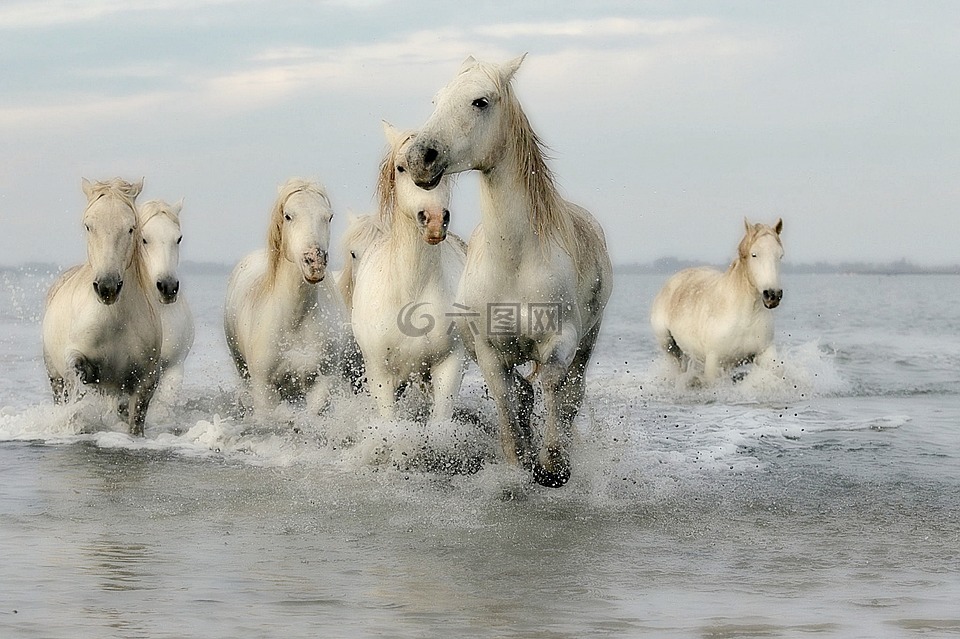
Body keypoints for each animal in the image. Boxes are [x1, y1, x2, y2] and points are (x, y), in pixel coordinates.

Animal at [42, 177, 162, 435]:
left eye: (130, 228)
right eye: (89, 226)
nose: (107, 287)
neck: (113, 321)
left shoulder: (145, 381)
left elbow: (135, 423)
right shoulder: (74, 362)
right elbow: (77, 379)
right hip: (55, 378)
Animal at [223, 178, 349, 413]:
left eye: (329, 216)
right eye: (288, 215)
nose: (315, 263)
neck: (295, 319)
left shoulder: (321, 383)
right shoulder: (265, 389)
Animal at [350, 122, 468, 421]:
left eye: (444, 169)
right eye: (402, 167)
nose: (435, 220)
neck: (412, 291)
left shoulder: (448, 367)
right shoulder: (380, 375)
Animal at [404, 55, 614, 487]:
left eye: (480, 101)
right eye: (437, 99)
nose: (420, 158)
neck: (514, 261)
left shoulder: (562, 339)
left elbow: (553, 385)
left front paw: (553, 466)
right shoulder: (487, 351)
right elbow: (508, 398)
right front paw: (521, 464)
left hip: (588, 339)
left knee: (571, 393)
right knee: (522, 394)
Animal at [650, 218, 784, 384]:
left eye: (780, 256)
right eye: (754, 255)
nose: (772, 295)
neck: (746, 316)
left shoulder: (765, 352)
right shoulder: (715, 362)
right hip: (669, 346)